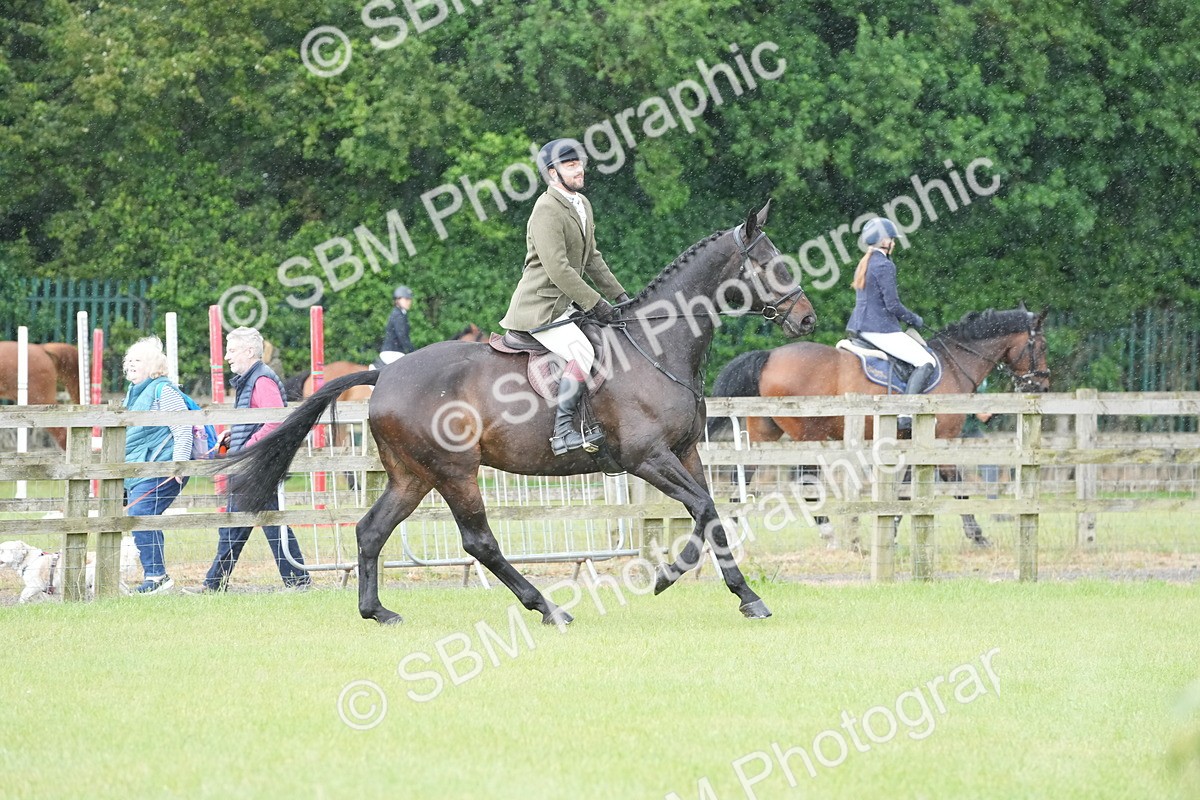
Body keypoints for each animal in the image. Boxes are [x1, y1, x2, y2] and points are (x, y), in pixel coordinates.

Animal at [225, 202, 817, 625]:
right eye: (771, 264)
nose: (808, 319)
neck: (658, 346)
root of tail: (384, 377)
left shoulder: (685, 452)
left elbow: (710, 513)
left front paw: (745, 597)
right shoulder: (646, 457)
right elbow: (703, 508)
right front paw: (668, 576)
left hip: (412, 476)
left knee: (372, 530)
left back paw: (379, 612)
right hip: (455, 471)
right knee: (478, 542)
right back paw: (548, 608)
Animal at [709, 306, 1050, 548]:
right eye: (1042, 346)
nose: (1042, 386)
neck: (955, 365)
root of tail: (769, 356)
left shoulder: (913, 445)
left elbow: (905, 492)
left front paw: (894, 532)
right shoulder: (939, 441)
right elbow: (956, 486)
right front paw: (978, 535)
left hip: (765, 431)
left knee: (744, 474)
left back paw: (733, 534)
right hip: (809, 434)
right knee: (806, 481)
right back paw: (831, 535)